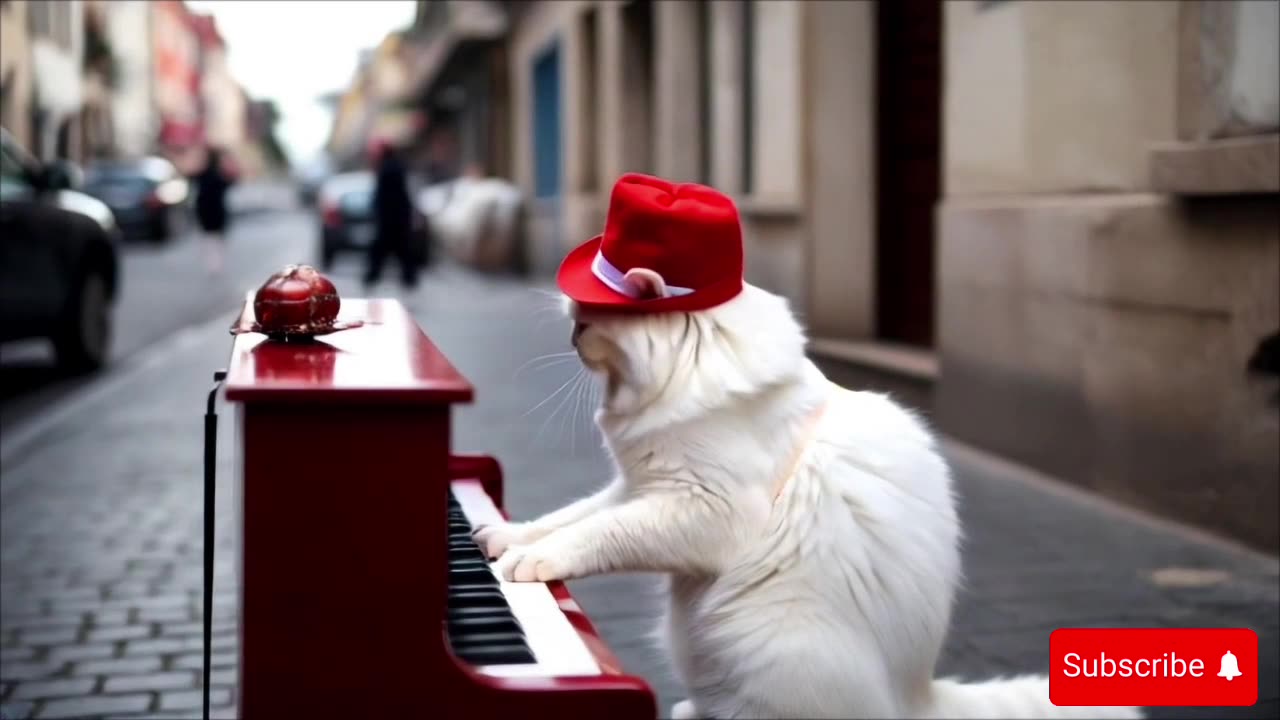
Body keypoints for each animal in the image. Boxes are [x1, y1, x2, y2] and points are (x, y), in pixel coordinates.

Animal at [473, 274, 1141, 717]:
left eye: (585, 323)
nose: (571, 337)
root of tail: (919, 698)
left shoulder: (694, 508)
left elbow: (595, 533)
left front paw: (528, 562)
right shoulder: (637, 487)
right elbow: (567, 517)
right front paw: (503, 537)